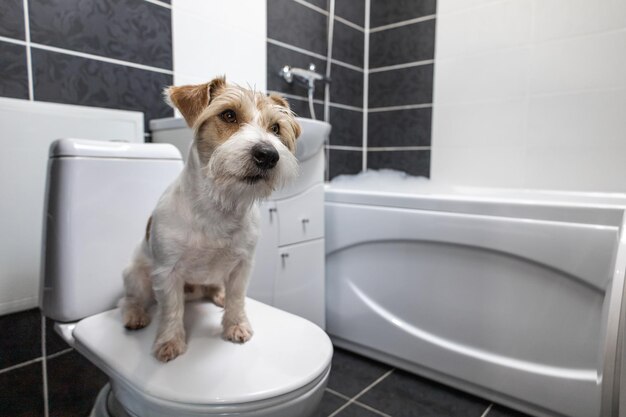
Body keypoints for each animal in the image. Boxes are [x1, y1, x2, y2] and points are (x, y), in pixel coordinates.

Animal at [120, 77, 302, 360]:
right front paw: (169, 341)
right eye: (228, 115)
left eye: (275, 128)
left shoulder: (242, 265)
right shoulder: (167, 272)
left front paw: (236, 325)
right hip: (135, 274)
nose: (268, 155)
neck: (219, 206)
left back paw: (219, 295)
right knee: (131, 299)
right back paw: (135, 314)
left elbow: (237, 298)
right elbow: (171, 309)